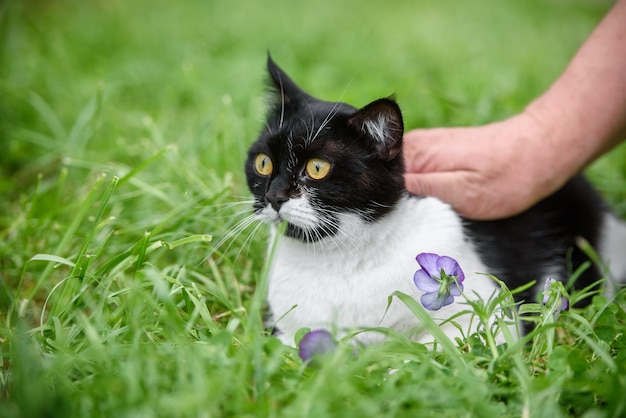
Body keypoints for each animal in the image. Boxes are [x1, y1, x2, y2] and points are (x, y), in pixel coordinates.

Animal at [243, 56, 624, 346]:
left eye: (317, 168)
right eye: (263, 163)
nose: (274, 196)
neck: (338, 261)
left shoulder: (489, 319)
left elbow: (431, 351)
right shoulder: (289, 330)